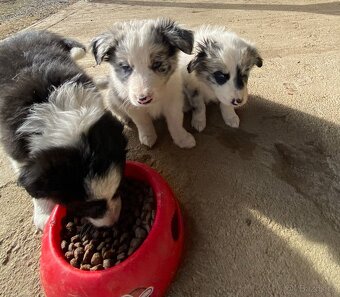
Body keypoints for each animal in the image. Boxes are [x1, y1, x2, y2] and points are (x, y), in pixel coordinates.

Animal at [0, 29, 127, 229]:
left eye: (118, 189)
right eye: (85, 206)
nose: (113, 222)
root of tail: (19, 35)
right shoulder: (16, 146)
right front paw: (44, 213)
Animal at [90, 17, 197, 148]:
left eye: (157, 64)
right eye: (126, 67)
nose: (143, 99)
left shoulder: (173, 100)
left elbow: (175, 122)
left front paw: (182, 139)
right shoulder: (132, 106)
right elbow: (143, 122)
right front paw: (148, 137)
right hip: (113, 98)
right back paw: (123, 117)